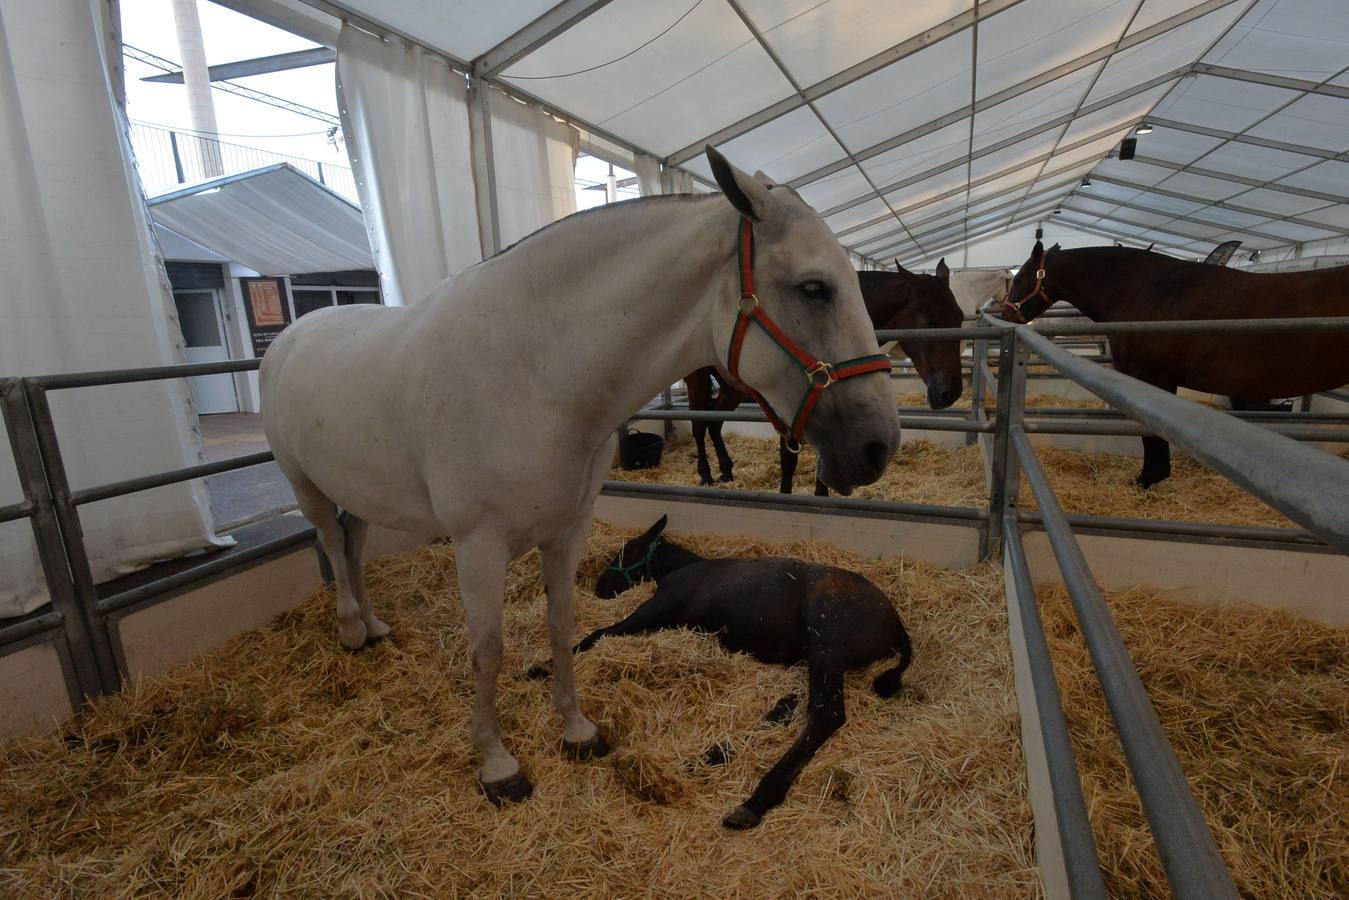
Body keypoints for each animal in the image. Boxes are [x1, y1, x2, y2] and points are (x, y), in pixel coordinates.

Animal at [259, 151, 901, 804]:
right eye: (814, 288)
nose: (878, 445)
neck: (535, 372)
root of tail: (289, 336)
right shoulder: (478, 545)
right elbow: (487, 651)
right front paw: (497, 765)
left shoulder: (568, 530)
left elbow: (561, 624)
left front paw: (576, 730)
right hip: (305, 487)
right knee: (332, 543)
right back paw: (350, 630)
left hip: (357, 492)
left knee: (354, 544)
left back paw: (372, 624)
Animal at [690, 260, 965, 493]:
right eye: (931, 322)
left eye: (960, 319)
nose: (950, 393)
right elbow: (788, 459)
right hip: (698, 380)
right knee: (699, 424)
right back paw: (705, 474)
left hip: (731, 389)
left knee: (714, 421)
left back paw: (726, 470)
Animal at [998, 241, 1349, 485]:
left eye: (1022, 277)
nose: (1004, 314)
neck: (1144, 291)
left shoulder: (1152, 377)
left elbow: (1152, 434)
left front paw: (1148, 479)